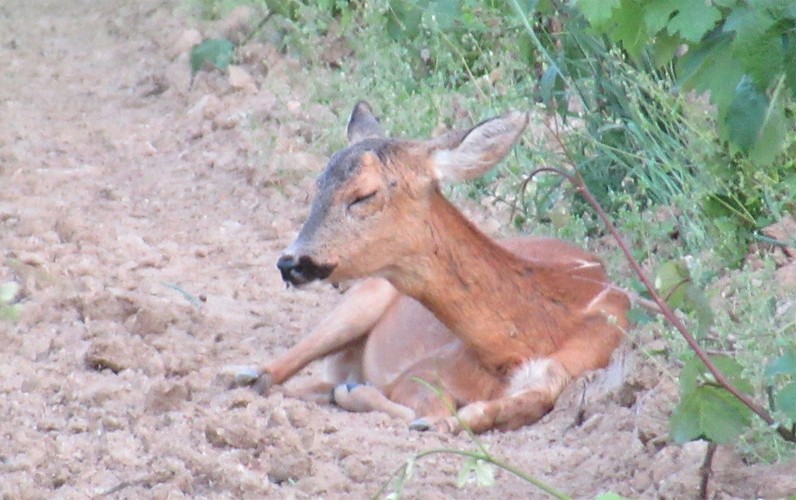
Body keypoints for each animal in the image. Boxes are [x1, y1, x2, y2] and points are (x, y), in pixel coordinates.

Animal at [233, 101, 632, 434]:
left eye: (364, 195)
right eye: (317, 186)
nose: (289, 262)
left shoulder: (575, 365)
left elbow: (486, 411)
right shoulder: (428, 367)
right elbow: (434, 408)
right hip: (362, 300)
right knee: (273, 372)